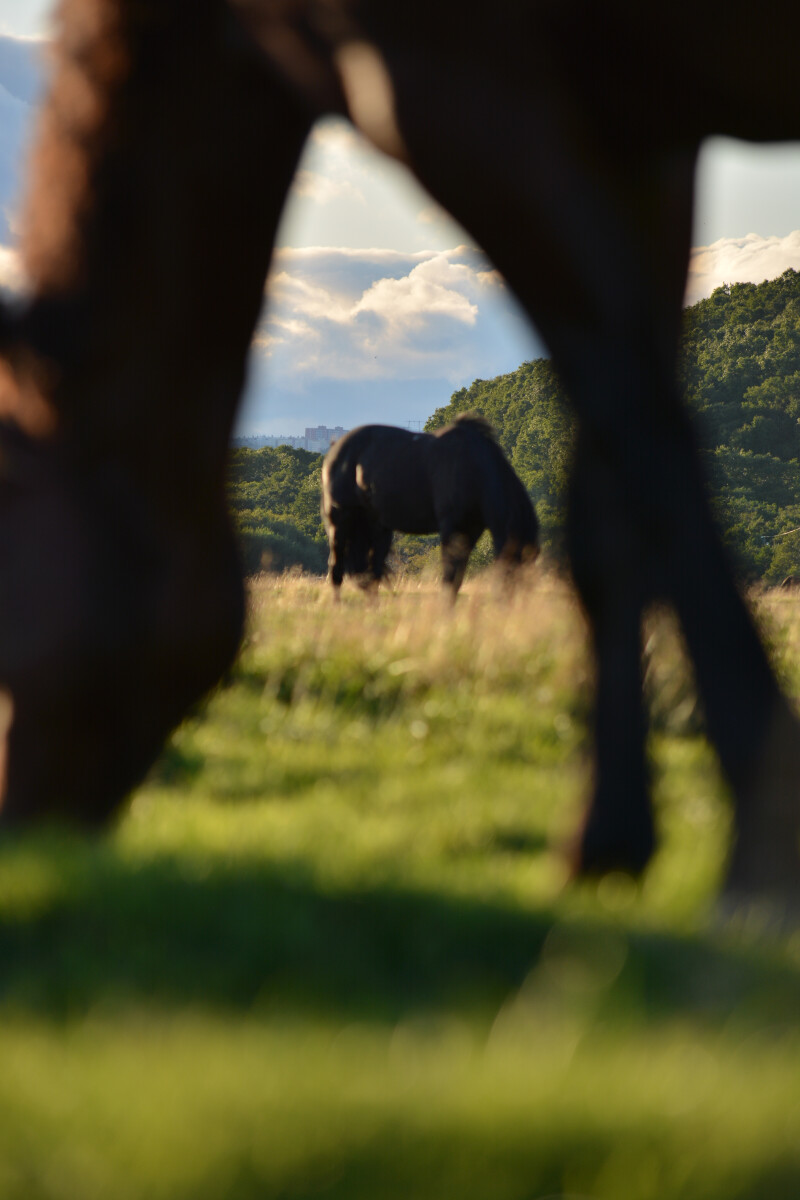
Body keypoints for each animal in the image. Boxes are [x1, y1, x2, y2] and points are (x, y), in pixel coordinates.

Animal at [321, 415, 542, 597]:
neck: (473, 468)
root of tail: (335, 448)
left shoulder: (471, 530)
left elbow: (456, 578)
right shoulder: (451, 527)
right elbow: (450, 578)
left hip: (377, 529)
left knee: (371, 575)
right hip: (340, 522)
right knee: (336, 570)